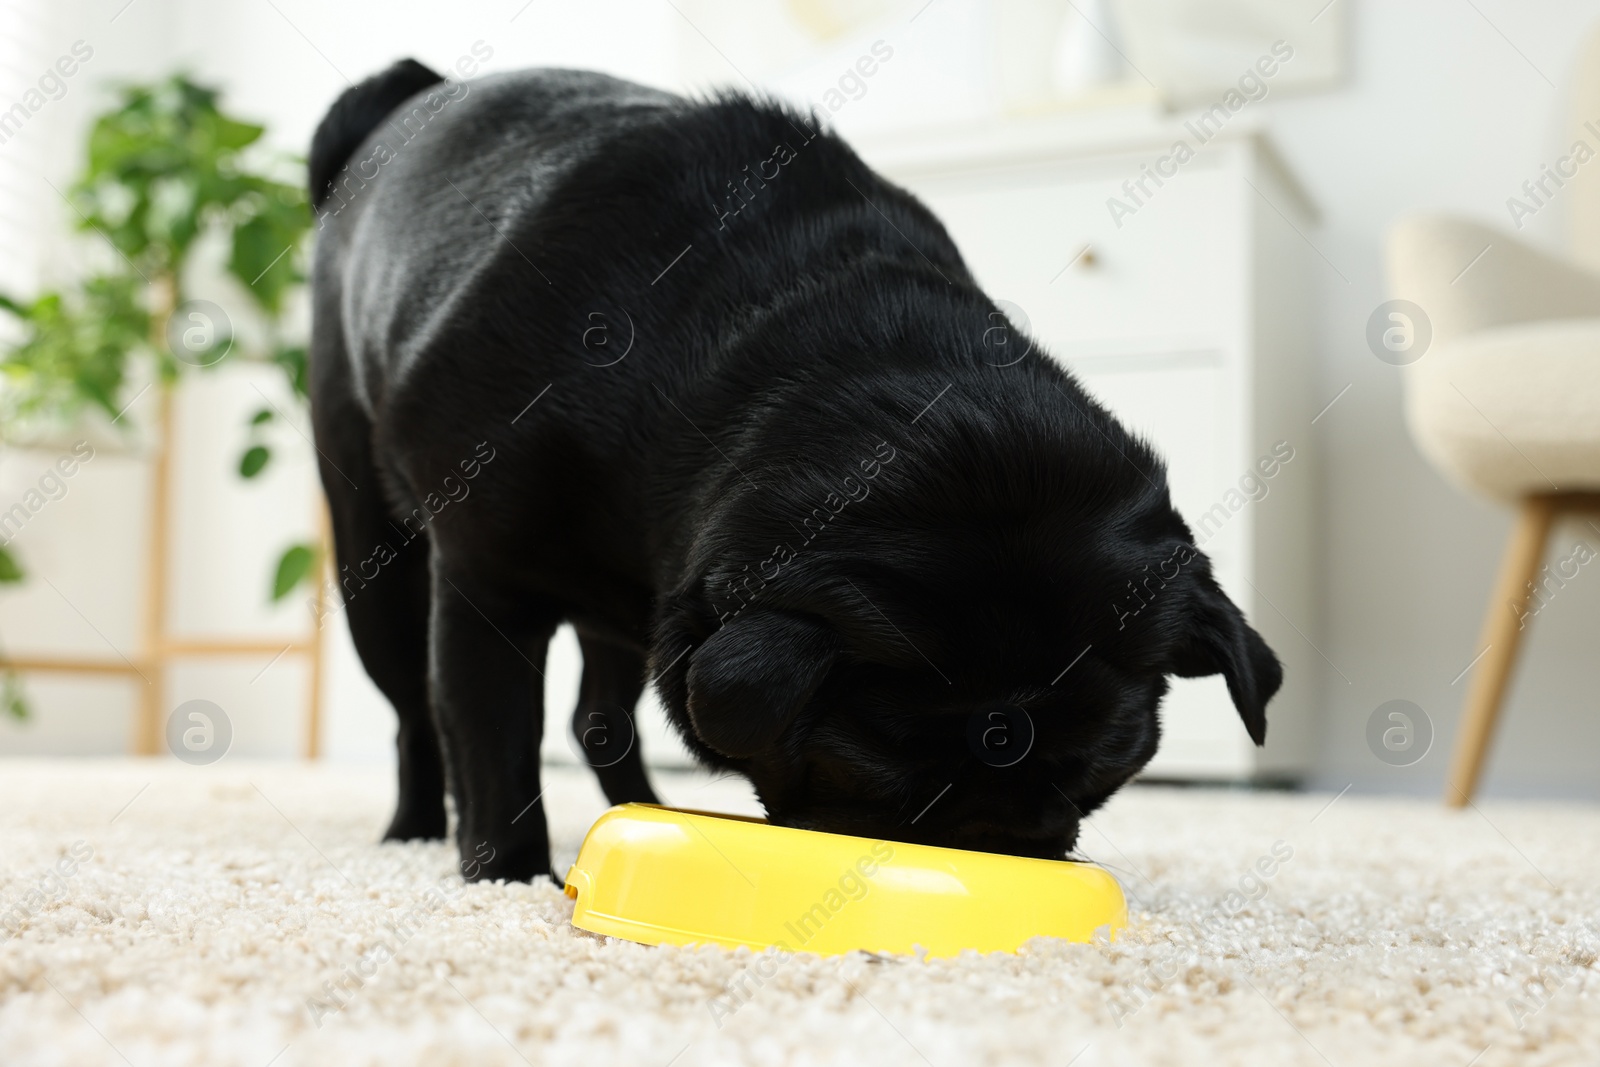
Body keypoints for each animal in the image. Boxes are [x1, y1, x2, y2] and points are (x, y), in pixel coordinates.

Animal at [312, 56, 1286, 883]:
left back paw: (643, 807)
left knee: (599, 717)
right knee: (416, 715)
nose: (997, 833)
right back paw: (412, 830)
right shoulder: (489, 590)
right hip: (376, 568)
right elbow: (493, 745)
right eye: (872, 772)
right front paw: (510, 876)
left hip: (619, 619)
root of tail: (411, 96)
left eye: (1102, 763)